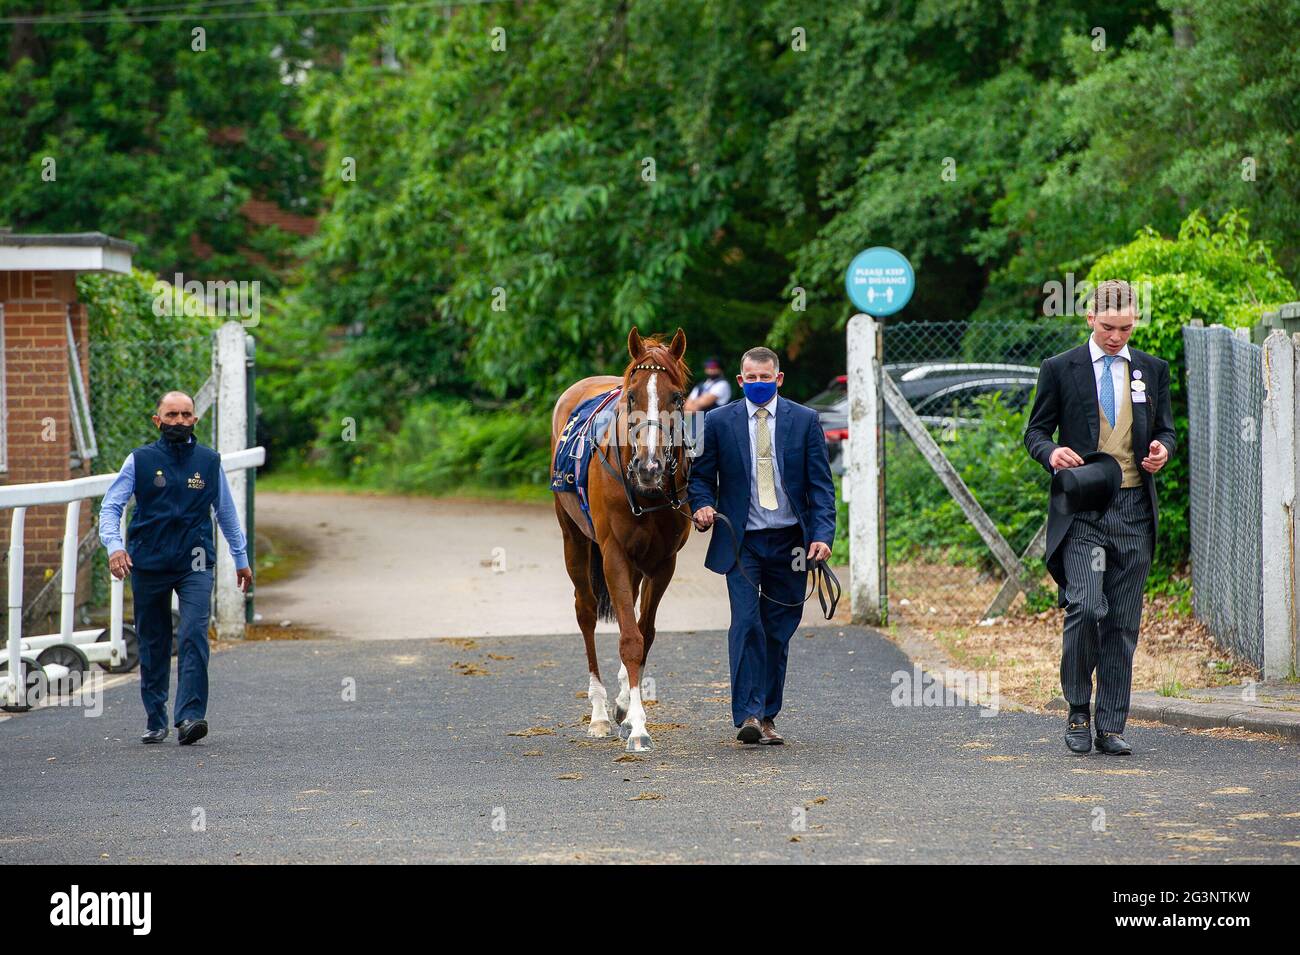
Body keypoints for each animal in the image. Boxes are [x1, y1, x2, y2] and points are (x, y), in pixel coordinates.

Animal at [548, 328, 691, 753]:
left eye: (677, 397)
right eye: (631, 397)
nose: (650, 466)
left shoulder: (663, 562)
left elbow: (645, 634)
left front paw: (632, 708)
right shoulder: (613, 555)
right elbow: (629, 638)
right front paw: (640, 728)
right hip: (574, 539)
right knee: (585, 612)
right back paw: (597, 713)